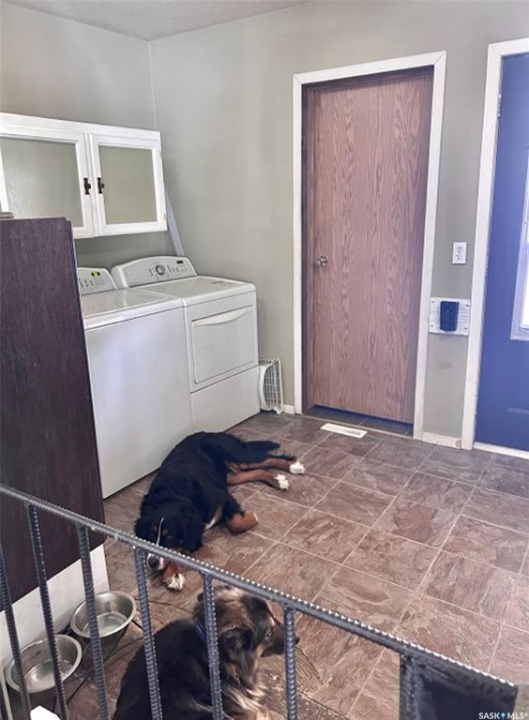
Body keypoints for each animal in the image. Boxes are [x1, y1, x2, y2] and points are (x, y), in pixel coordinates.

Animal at [135, 431, 305, 590]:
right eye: (151, 534)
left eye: (169, 536)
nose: (152, 562)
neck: (174, 494)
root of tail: (213, 432)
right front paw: (174, 573)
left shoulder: (222, 496)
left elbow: (236, 524)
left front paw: (253, 517)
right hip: (230, 475)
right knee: (255, 472)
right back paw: (277, 479)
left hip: (238, 456)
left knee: (269, 458)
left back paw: (293, 467)